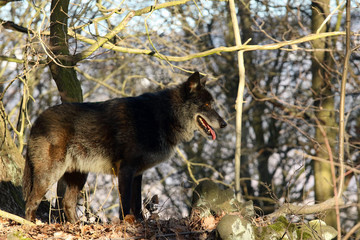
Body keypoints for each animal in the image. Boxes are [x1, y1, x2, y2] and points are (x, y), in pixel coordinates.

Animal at [22, 71, 226, 223]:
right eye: (206, 105)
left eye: (212, 104)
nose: (224, 124)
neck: (163, 115)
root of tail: (36, 121)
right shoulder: (126, 170)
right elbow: (126, 202)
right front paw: (125, 224)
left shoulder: (137, 173)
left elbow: (136, 203)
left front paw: (139, 223)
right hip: (50, 174)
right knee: (31, 201)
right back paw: (31, 224)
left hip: (79, 176)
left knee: (67, 204)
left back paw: (77, 226)